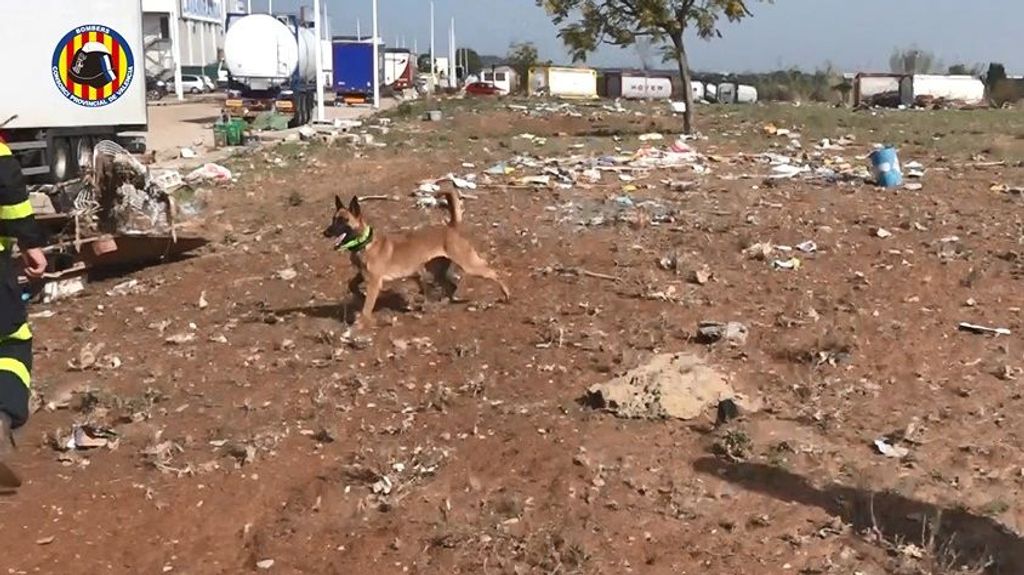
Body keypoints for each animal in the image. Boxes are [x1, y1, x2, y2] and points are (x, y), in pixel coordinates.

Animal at [321, 188, 509, 323]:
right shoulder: (363, 275)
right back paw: (440, 303)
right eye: (333, 219)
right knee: (451, 286)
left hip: (468, 264)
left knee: (493, 273)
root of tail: (450, 227)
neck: (364, 243)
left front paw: (363, 321)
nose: (325, 232)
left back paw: (506, 294)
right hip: (436, 270)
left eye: (343, 220)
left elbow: (367, 307)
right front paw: (359, 295)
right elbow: (352, 284)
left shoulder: (374, 282)